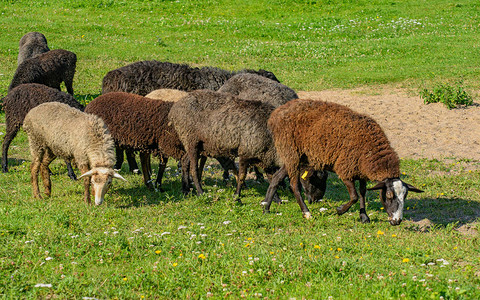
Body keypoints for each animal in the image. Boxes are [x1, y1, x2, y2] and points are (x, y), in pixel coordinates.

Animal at [262, 99, 424, 225]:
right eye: (389, 195)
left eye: (405, 196)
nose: (397, 221)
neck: (371, 151)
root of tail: (276, 114)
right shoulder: (345, 169)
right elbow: (354, 196)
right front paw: (340, 210)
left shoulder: (361, 171)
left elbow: (362, 193)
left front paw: (364, 216)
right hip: (290, 150)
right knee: (294, 184)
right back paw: (306, 212)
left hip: (296, 156)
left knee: (276, 177)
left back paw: (266, 207)